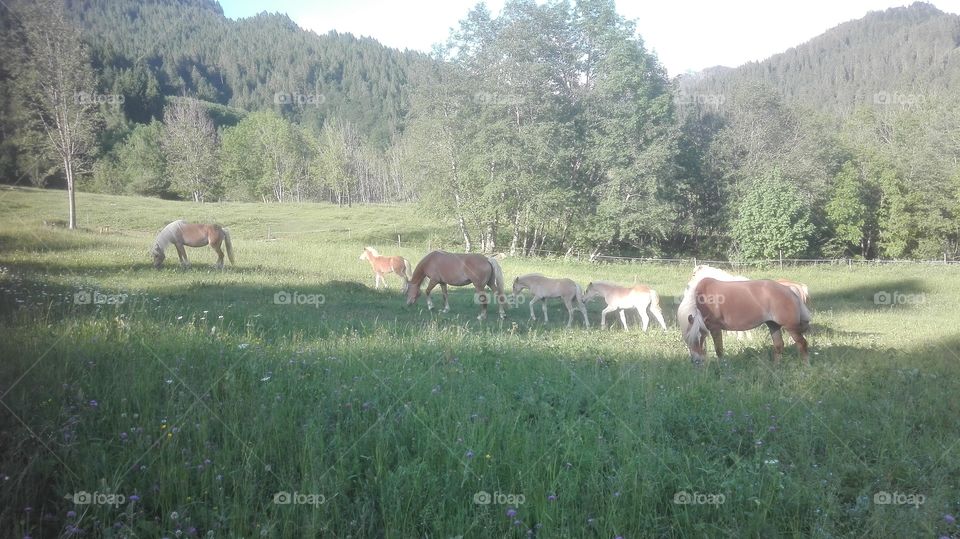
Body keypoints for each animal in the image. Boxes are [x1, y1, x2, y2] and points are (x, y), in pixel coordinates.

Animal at [678, 275, 812, 366]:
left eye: (698, 338)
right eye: (688, 339)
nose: (696, 361)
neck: (705, 299)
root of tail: (790, 290)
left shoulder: (715, 328)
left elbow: (719, 350)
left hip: (791, 327)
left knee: (802, 343)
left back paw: (806, 366)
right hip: (773, 325)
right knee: (779, 345)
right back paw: (776, 366)